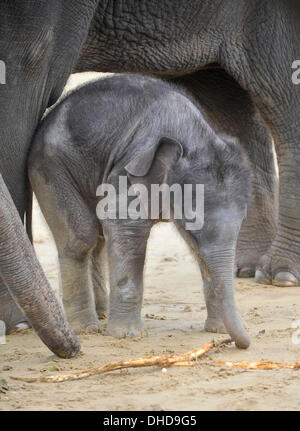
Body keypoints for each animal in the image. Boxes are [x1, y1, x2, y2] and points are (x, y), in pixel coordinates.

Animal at [29, 74, 252, 350]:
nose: (243, 343)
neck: (195, 135)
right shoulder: (131, 171)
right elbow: (124, 224)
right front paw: (126, 335)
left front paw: (217, 330)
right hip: (49, 167)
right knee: (81, 237)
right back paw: (86, 327)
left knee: (98, 237)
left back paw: (102, 313)